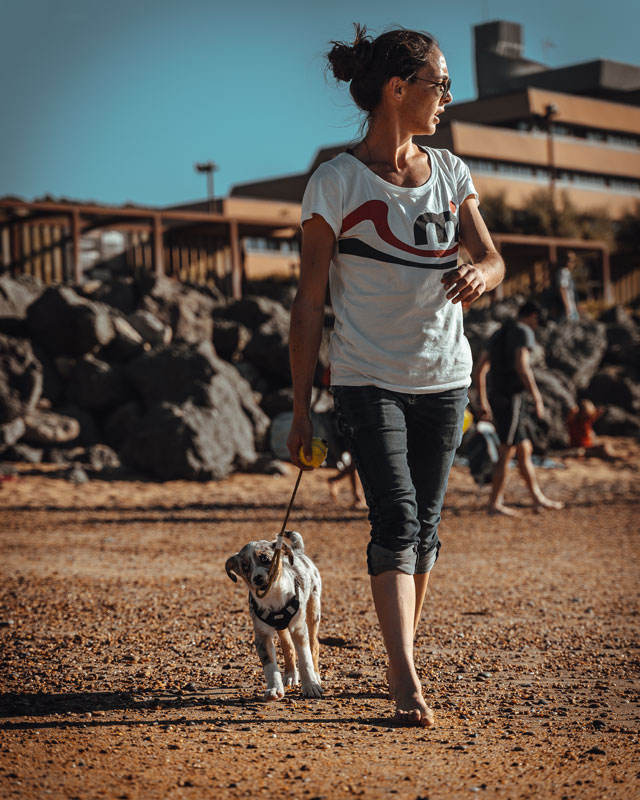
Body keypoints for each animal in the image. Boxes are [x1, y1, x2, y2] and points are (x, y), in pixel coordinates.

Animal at [226, 532, 324, 700]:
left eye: (265, 558)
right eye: (245, 567)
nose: (257, 578)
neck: (273, 597)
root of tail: (298, 551)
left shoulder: (299, 629)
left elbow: (305, 659)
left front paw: (311, 686)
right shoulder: (261, 635)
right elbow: (270, 666)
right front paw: (274, 689)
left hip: (313, 612)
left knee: (314, 644)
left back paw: (316, 675)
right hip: (282, 628)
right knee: (288, 646)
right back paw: (290, 675)